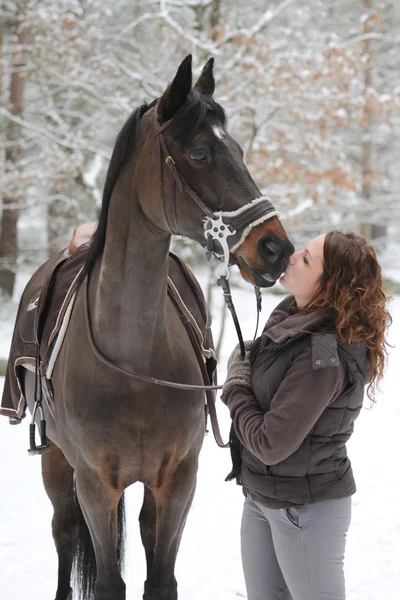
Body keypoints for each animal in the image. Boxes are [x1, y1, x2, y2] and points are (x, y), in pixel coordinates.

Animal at [3, 57, 294, 600]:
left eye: (239, 150)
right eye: (200, 152)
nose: (275, 248)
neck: (134, 360)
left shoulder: (178, 479)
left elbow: (160, 579)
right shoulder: (95, 482)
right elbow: (107, 580)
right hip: (57, 464)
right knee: (64, 534)